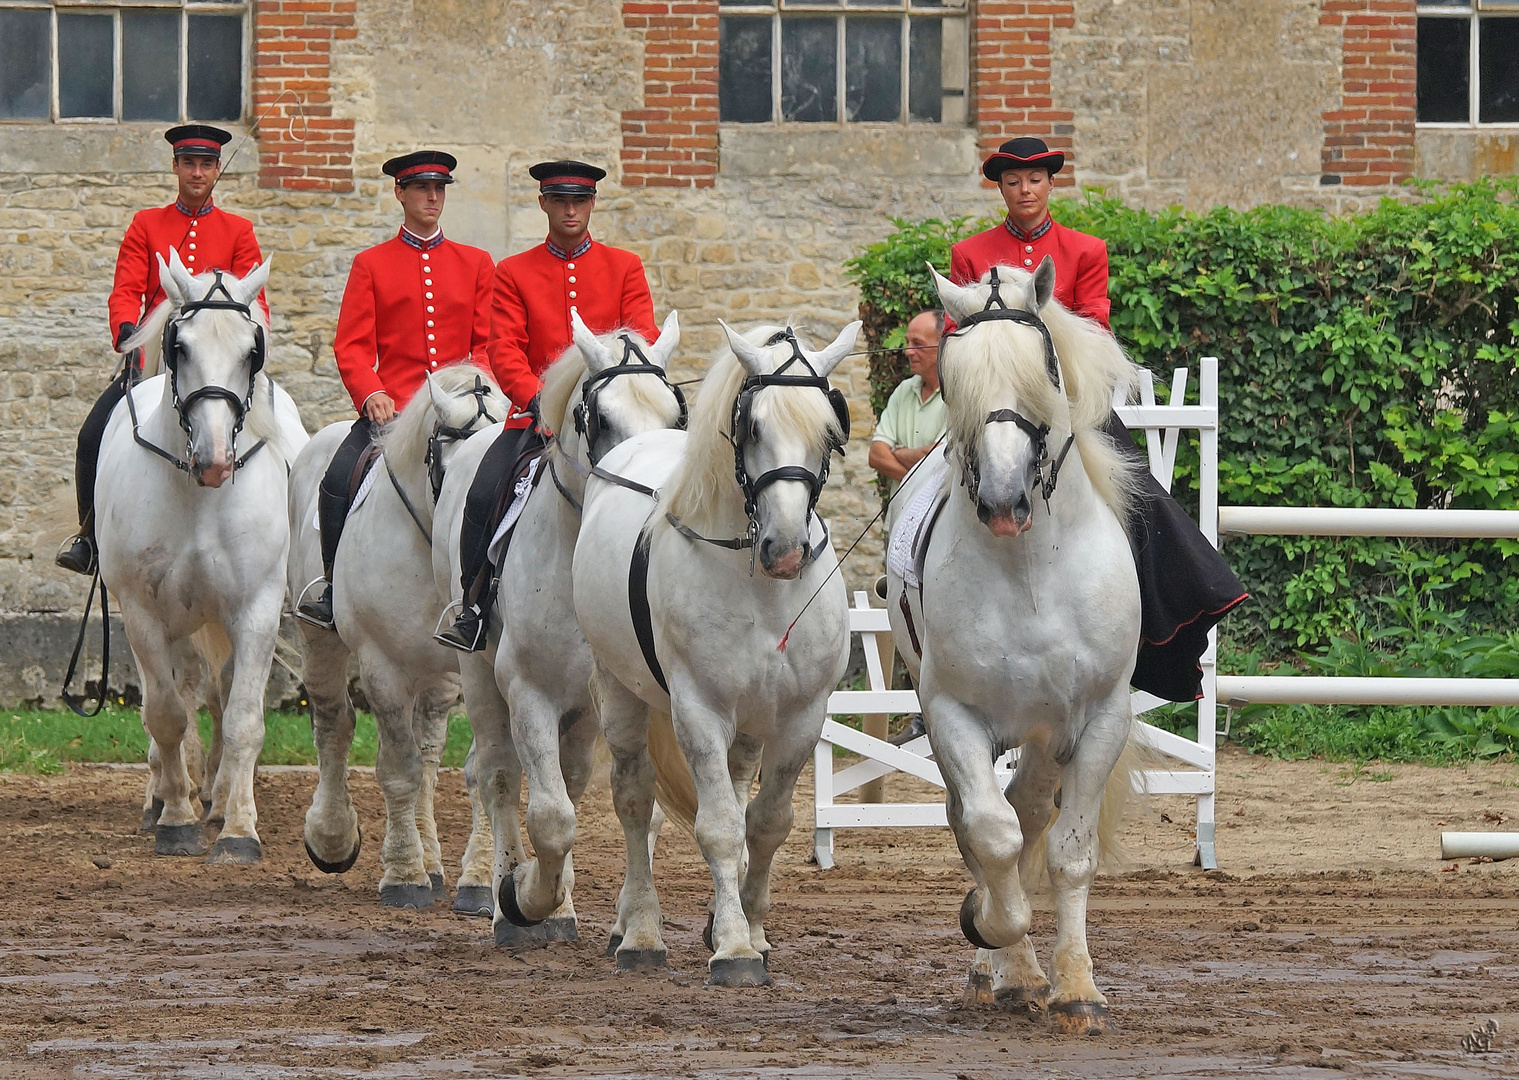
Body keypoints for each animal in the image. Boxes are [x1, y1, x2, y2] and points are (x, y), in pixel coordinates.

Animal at [99, 250, 306, 862]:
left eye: (251, 350)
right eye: (180, 347)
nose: (214, 462)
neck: (198, 498)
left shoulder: (257, 610)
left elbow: (243, 719)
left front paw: (238, 828)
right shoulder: (144, 613)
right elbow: (166, 715)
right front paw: (175, 819)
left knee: (219, 693)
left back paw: (216, 795)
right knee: (173, 700)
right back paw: (168, 799)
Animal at [290, 363, 510, 905]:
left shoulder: (475, 666)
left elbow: (474, 767)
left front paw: (479, 879)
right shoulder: (381, 666)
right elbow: (398, 770)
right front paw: (404, 875)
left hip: (440, 675)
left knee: (429, 752)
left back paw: (433, 858)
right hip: (318, 639)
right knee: (334, 722)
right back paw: (332, 837)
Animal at [434, 309, 683, 947]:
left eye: (675, 415)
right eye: (598, 418)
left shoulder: (594, 703)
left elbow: (575, 799)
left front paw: (562, 903)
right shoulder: (530, 690)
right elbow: (548, 816)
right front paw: (521, 898)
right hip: (479, 675)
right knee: (498, 776)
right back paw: (505, 897)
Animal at [571, 317, 856, 984]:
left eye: (829, 430)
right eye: (752, 426)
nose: (786, 549)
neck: (762, 588)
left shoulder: (801, 716)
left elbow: (768, 823)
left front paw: (750, 926)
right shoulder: (698, 710)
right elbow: (721, 826)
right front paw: (733, 947)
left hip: (750, 722)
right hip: (619, 689)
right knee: (634, 799)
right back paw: (639, 931)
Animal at [887, 258, 1142, 1032]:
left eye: (1044, 371)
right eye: (954, 379)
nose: (1003, 503)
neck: (1029, 569)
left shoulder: (1098, 719)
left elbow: (1069, 853)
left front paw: (1078, 987)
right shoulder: (953, 716)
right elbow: (990, 835)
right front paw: (993, 933)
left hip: (1044, 731)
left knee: (1031, 814)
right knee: (985, 822)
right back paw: (1003, 969)